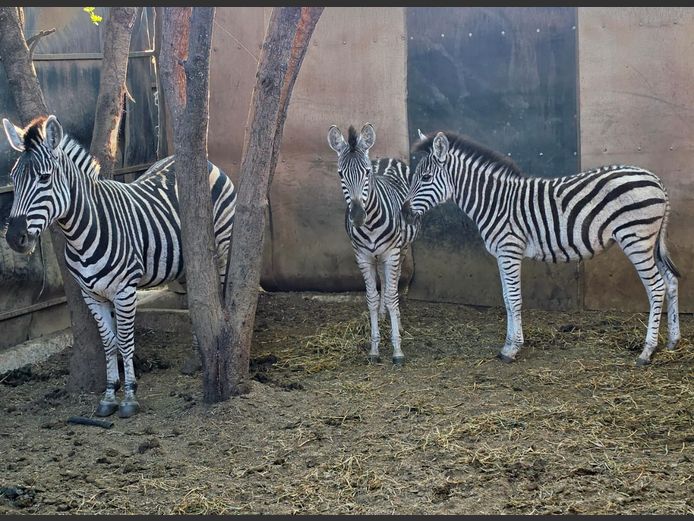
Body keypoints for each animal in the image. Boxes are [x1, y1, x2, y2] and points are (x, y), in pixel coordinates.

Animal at [3, 115, 236, 417]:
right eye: (13, 179)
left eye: (44, 177)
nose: (14, 238)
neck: (81, 232)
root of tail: (205, 162)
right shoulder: (91, 294)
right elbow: (109, 342)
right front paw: (109, 395)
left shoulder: (125, 291)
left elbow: (125, 341)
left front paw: (129, 397)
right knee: (196, 297)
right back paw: (198, 359)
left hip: (222, 245)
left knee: (217, 295)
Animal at [327, 123, 420, 365]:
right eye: (341, 174)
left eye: (367, 172)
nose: (358, 216)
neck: (369, 226)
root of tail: (388, 158)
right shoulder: (362, 256)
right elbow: (371, 297)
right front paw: (374, 348)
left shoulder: (392, 253)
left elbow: (392, 296)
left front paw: (397, 350)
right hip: (377, 255)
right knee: (383, 281)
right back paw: (383, 314)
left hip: (401, 249)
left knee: (393, 283)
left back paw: (396, 319)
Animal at [401, 130, 680, 366]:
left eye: (425, 178)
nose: (404, 212)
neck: (494, 201)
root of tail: (655, 179)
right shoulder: (502, 254)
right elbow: (506, 298)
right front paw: (508, 344)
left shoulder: (509, 250)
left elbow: (514, 299)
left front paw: (512, 348)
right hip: (651, 242)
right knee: (671, 281)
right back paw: (673, 341)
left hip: (636, 238)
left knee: (657, 287)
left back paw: (647, 351)